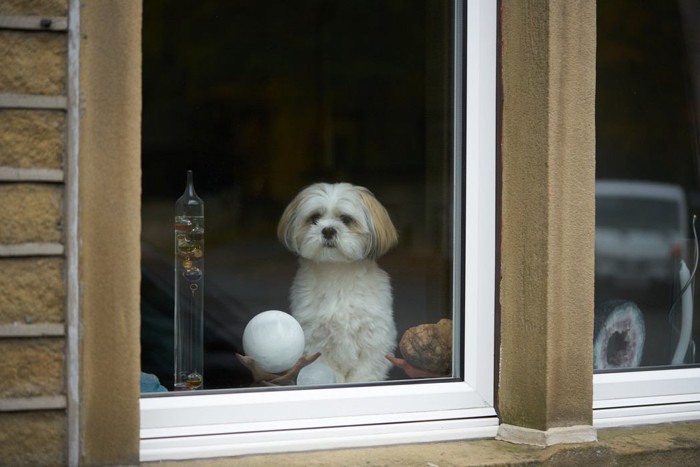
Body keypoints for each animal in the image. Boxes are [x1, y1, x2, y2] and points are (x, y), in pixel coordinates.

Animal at [278, 183, 400, 384]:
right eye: (315, 218)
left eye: (346, 219)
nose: (328, 230)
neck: (337, 272)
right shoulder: (316, 341)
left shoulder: (373, 340)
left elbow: (364, 374)